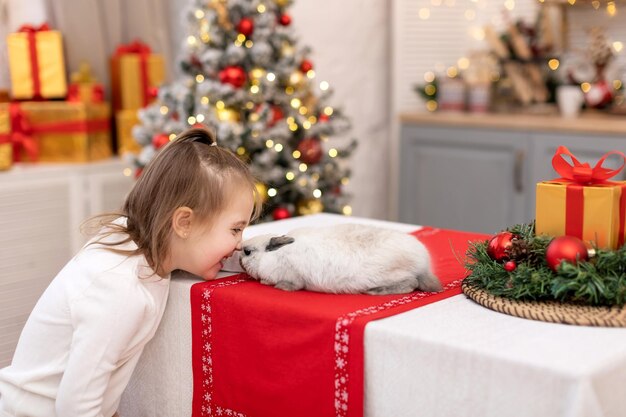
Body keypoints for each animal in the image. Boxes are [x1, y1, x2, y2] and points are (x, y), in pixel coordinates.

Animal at [236, 223, 442, 294]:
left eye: (247, 252)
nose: (238, 261)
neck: (273, 256)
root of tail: (423, 265)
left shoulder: (294, 276)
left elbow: (292, 284)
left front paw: (280, 287)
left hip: (393, 274)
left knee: (411, 283)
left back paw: (375, 292)